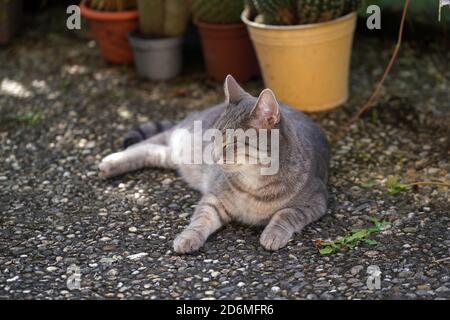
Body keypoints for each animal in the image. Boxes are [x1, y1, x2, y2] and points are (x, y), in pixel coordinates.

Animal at [99, 75, 330, 252]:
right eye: (215, 135)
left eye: (233, 142)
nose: (212, 154)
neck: (255, 183)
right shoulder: (214, 198)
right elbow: (200, 220)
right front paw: (188, 237)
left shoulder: (316, 202)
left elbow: (286, 214)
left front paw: (273, 234)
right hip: (182, 141)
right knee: (146, 144)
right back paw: (112, 161)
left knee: (152, 151)